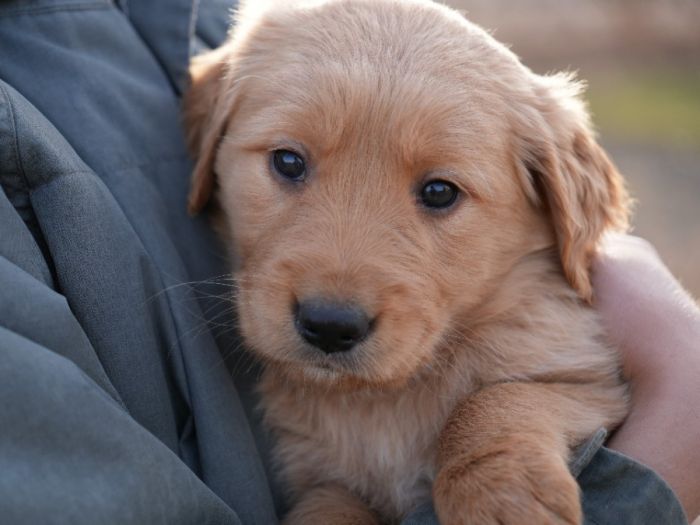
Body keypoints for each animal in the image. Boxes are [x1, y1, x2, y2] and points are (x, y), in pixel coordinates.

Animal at [185, 1, 628, 524]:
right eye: (288, 161)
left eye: (439, 191)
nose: (330, 326)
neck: (381, 397)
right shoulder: (318, 475)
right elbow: (328, 506)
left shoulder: (592, 382)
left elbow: (499, 398)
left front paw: (500, 492)